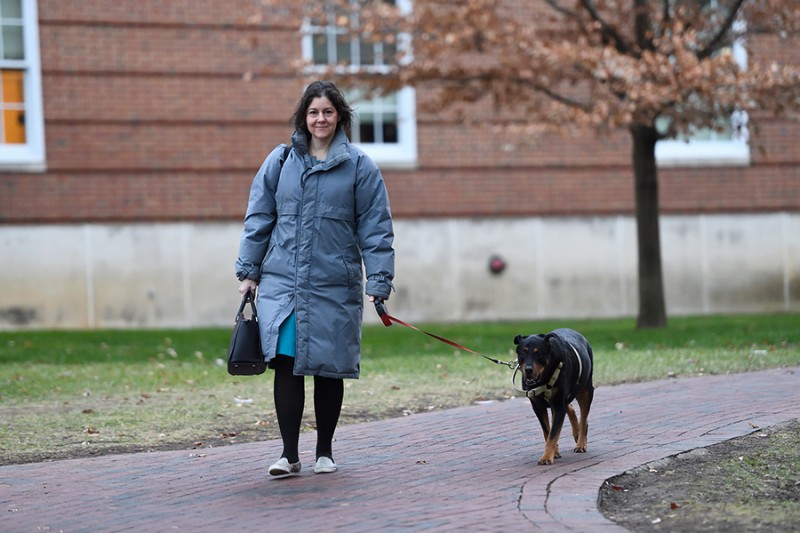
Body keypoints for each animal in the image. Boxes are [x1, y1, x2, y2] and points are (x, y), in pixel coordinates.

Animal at [512, 326, 592, 464]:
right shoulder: (538, 406)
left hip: (586, 391)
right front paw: (555, 452)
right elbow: (547, 431)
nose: (528, 369)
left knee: (584, 419)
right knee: (570, 408)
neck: (543, 379)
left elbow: (553, 433)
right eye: (523, 353)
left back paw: (581, 443)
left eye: (539, 353)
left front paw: (546, 457)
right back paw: (576, 434)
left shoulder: (558, 405)